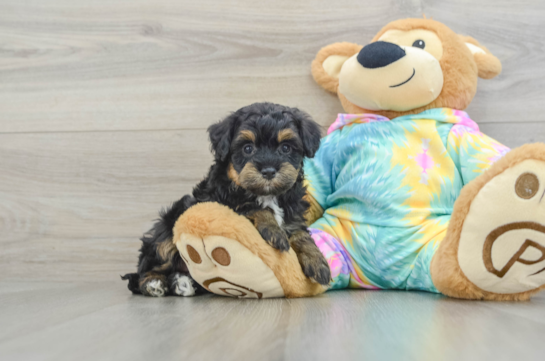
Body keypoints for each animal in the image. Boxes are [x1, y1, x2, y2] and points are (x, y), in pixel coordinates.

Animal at [121, 101, 330, 296]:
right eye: (248, 148)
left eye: (286, 148)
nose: (269, 171)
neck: (267, 194)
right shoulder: (223, 203)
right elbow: (254, 207)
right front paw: (274, 231)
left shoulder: (293, 216)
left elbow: (301, 234)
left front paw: (318, 262)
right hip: (167, 231)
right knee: (146, 268)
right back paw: (153, 284)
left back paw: (183, 283)